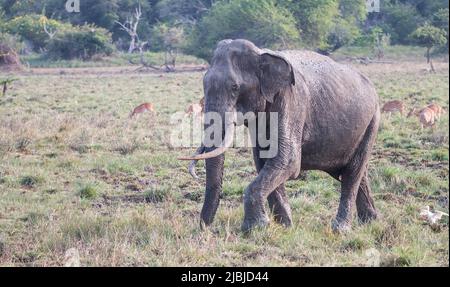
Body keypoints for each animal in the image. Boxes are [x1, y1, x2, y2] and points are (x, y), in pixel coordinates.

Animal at [179, 39, 380, 234]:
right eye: (204, 83)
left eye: (234, 87)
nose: (206, 229)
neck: (261, 53)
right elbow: (264, 160)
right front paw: (285, 227)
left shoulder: (291, 102)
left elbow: (287, 160)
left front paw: (255, 229)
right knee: (354, 174)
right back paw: (370, 222)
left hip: (372, 122)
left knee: (352, 174)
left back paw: (341, 230)